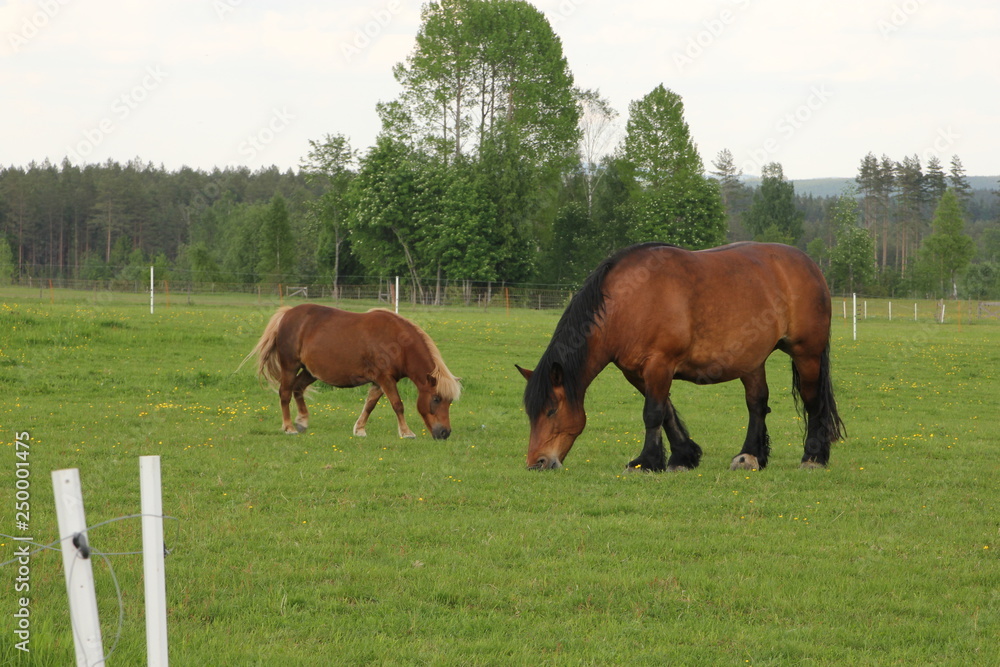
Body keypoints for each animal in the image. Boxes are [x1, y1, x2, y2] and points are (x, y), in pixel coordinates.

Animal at [240, 306, 462, 440]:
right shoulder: (385, 378)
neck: (398, 342)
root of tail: (287, 314)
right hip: (290, 366)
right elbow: (398, 405)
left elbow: (370, 405)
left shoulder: (379, 381)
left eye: (449, 401)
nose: (445, 433)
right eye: (436, 399)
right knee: (285, 393)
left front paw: (360, 429)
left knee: (298, 388)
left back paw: (302, 421)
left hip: (310, 371)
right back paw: (289, 427)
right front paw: (406, 432)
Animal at [516, 243, 844, 472]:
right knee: (757, 404)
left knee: (812, 400)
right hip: (752, 361)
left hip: (807, 353)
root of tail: (809, 265)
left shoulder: (660, 363)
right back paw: (750, 456)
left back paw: (813, 457)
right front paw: (684, 456)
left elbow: (653, 413)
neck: (628, 301)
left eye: (551, 411)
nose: (537, 463)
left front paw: (646, 462)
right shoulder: (638, 372)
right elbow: (666, 412)